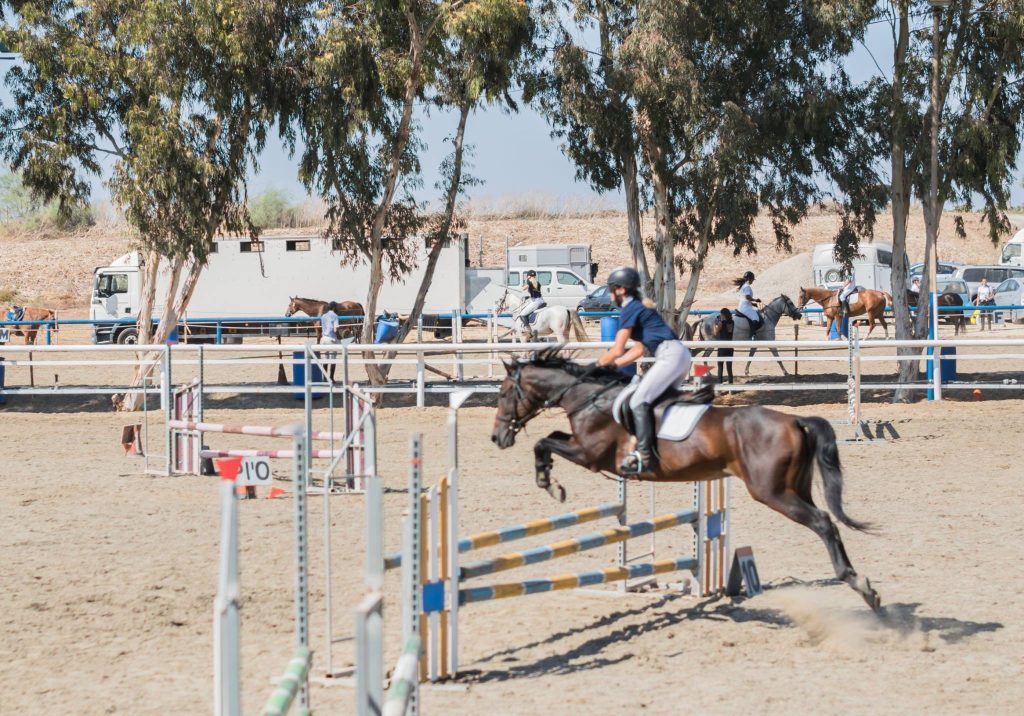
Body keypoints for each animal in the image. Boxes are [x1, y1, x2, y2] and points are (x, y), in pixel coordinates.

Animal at [490, 352, 882, 612]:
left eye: (504, 393)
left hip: (771, 492)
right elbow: (551, 438)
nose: (498, 438)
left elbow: (544, 442)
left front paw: (549, 482)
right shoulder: (583, 448)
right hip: (793, 488)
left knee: (824, 523)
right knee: (825, 520)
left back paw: (860, 585)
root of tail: (795, 420)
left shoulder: (589, 454)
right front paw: (548, 477)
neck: (588, 398)